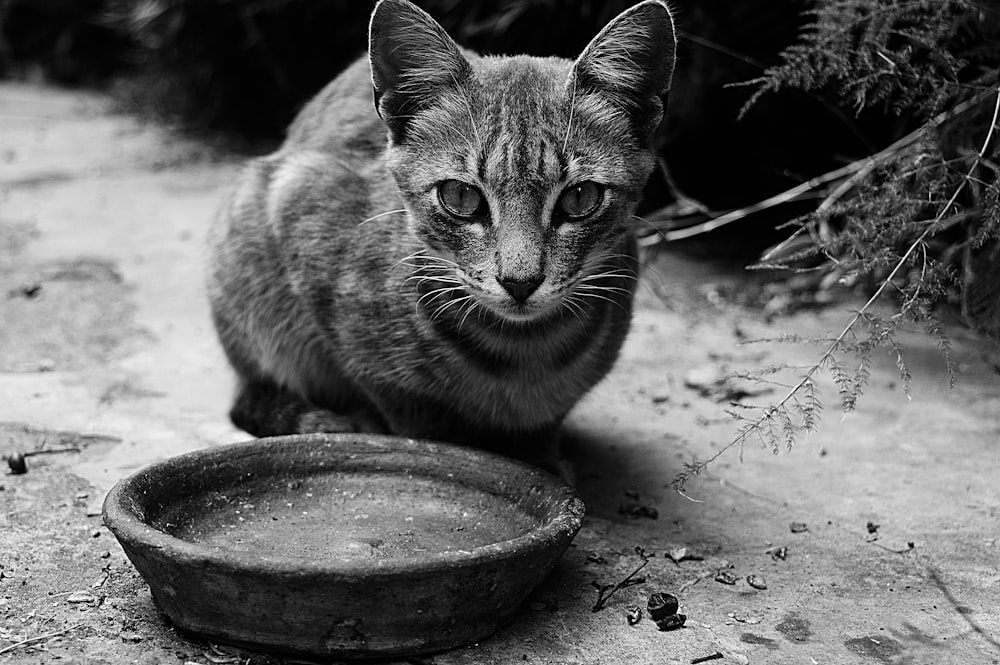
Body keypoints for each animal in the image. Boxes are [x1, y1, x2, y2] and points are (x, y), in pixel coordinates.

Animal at [209, 0, 680, 470]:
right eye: (461, 195)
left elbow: (548, 420)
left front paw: (540, 456)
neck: (524, 351)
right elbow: (414, 415)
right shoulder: (301, 202)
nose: (520, 282)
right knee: (247, 401)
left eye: (581, 197)